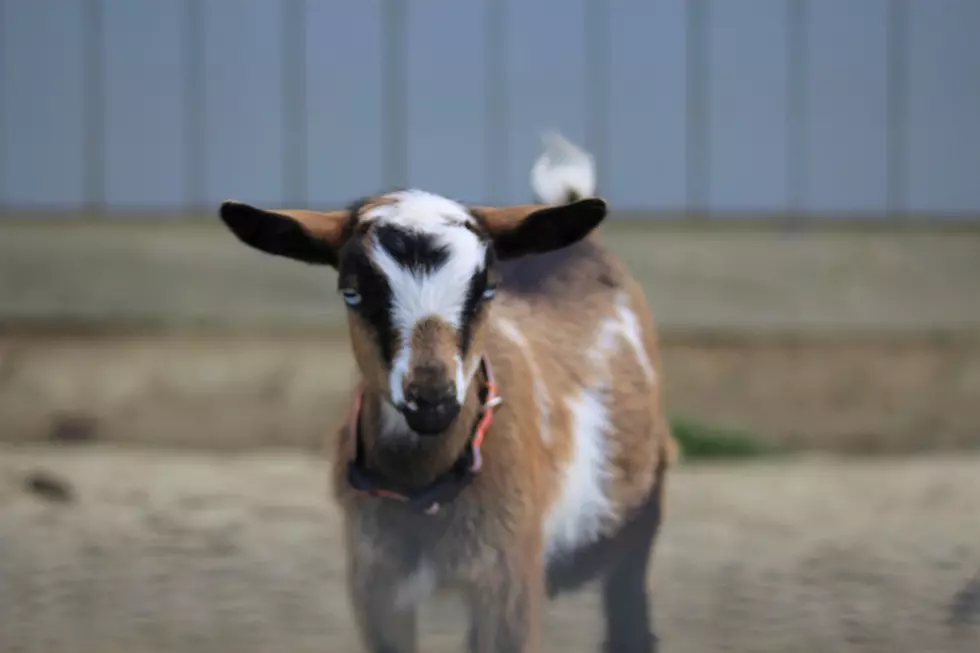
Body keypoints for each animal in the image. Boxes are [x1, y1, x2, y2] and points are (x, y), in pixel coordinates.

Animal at [218, 132, 677, 653]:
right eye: (352, 293)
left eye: (487, 289)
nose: (432, 397)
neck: (423, 487)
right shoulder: (375, 582)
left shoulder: (509, 579)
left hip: (641, 505)